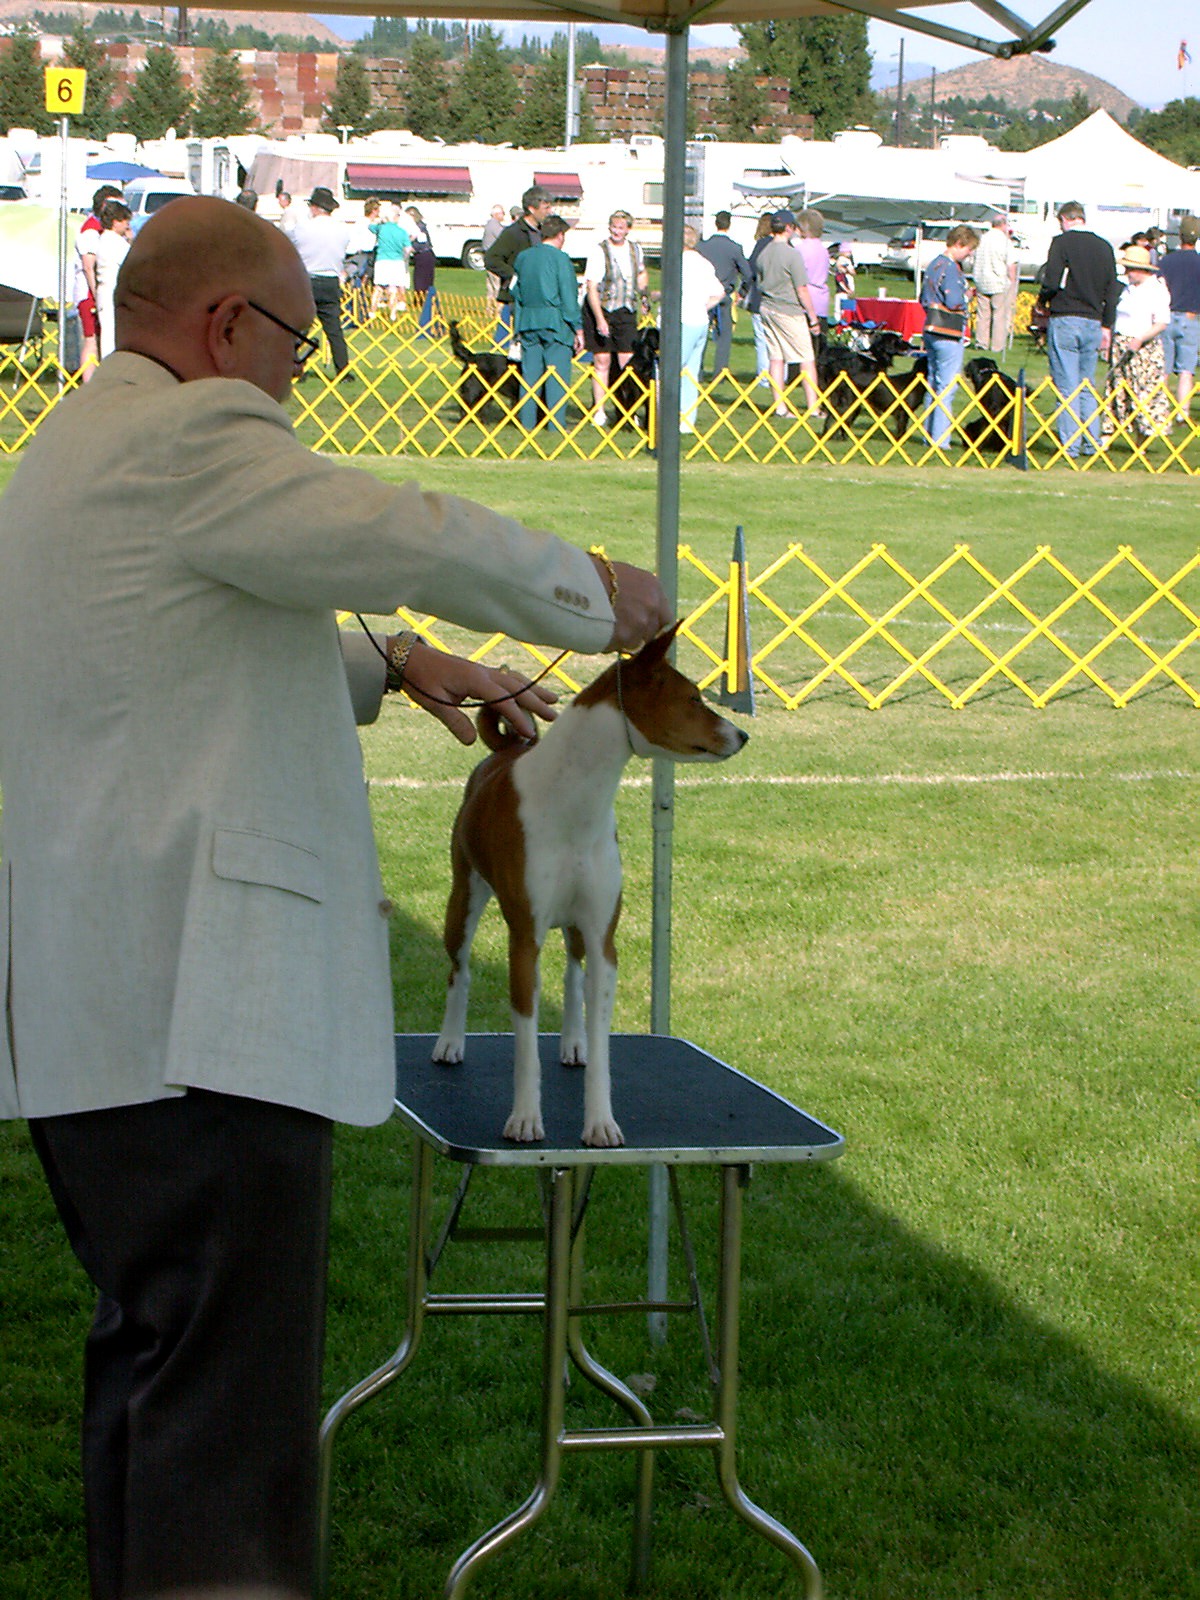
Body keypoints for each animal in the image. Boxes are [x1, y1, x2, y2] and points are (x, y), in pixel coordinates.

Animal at [432, 624, 748, 1147]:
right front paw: (525, 1118)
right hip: (464, 901)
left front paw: (600, 1121)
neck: (574, 806)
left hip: (577, 928)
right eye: (693, 698)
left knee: (572, 974)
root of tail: (505, 751)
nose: (742, 734)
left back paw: (572, 1043)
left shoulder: (603, 938)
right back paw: (450, 1042)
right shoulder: (525, 939)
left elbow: (602, 1046)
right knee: (460, 971)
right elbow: (525, 1047)